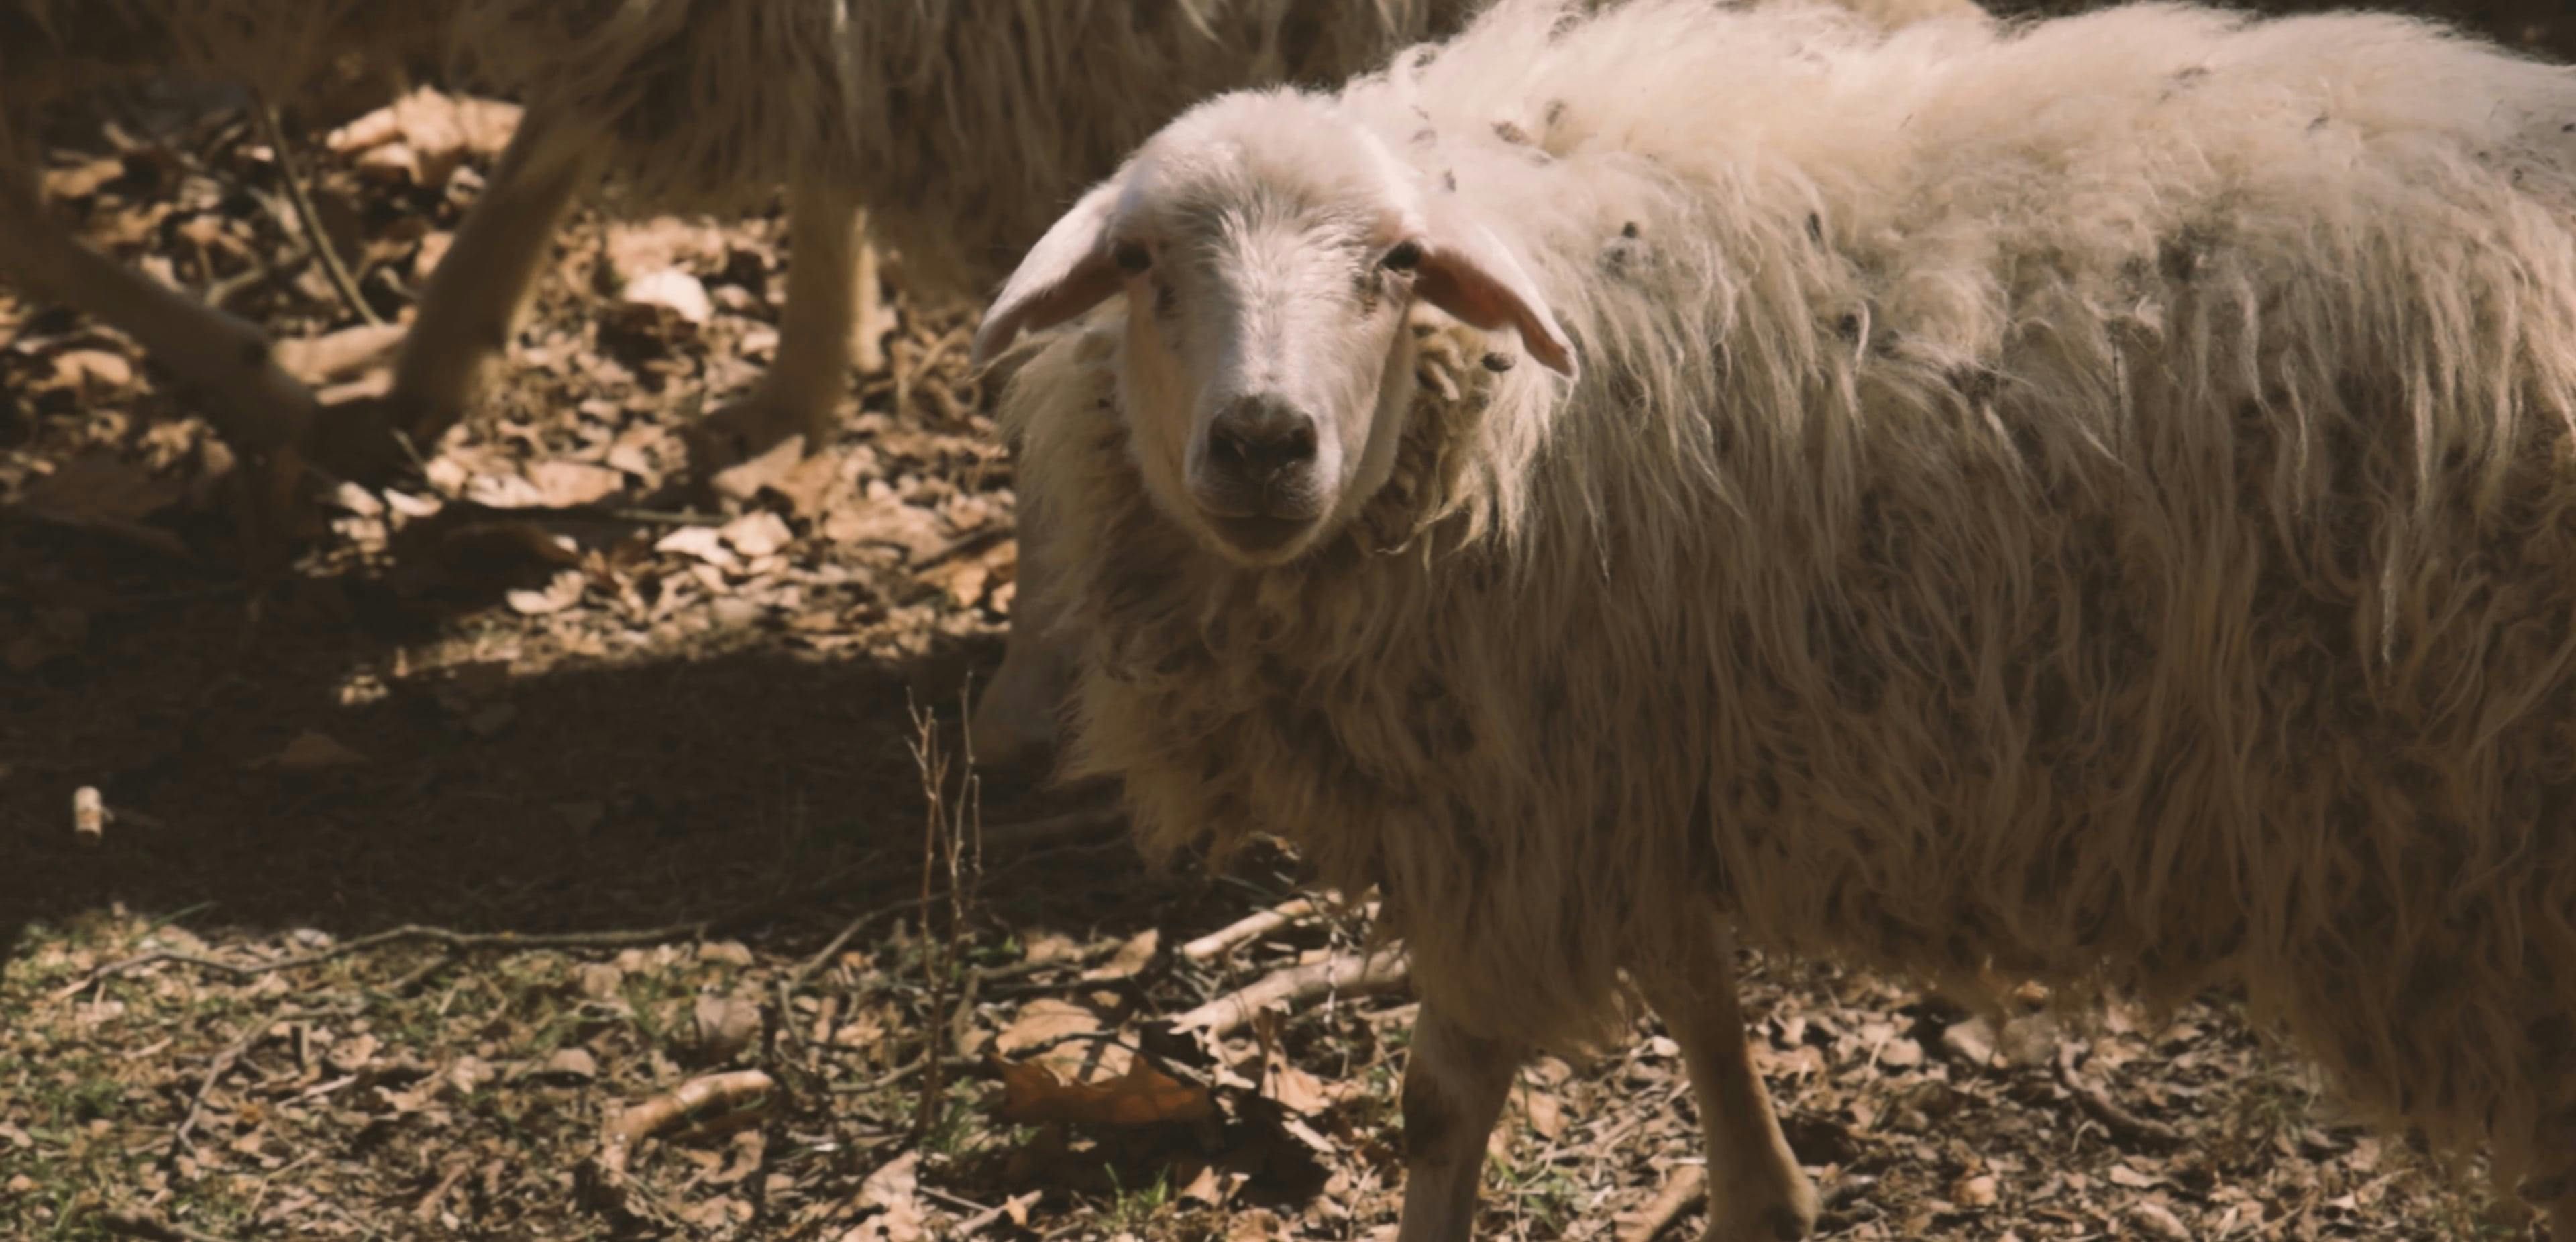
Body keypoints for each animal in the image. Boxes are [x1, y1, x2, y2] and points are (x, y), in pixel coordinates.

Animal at [964, 0, 2576, 1237]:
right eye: (1143, 265)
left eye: (1398, 264)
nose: (1261, 443)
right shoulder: (1626, 749)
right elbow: (1693, 983)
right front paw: (1765, 1189)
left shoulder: (1513, 809)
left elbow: (1438, 1103)